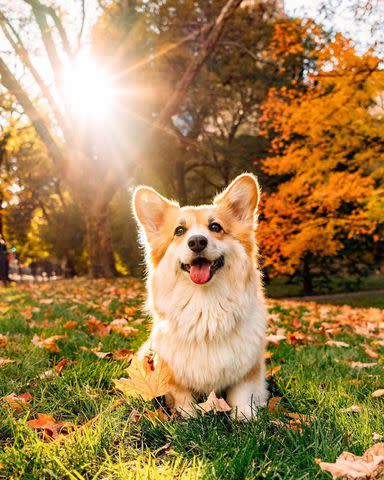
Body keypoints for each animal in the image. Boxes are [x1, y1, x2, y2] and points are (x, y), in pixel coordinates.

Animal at [132, 173, 268, 420]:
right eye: (179, 231)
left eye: (215, 227)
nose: (196, 241)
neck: (206, 307)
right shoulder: (172, 375)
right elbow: (182, 398)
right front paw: (188, 418)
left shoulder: (249, 369)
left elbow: (242, 393)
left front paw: (244, 416)